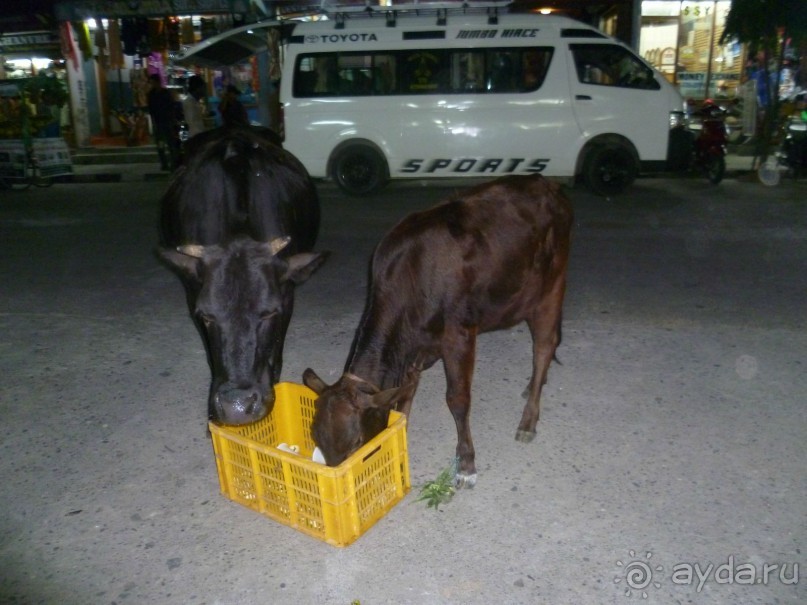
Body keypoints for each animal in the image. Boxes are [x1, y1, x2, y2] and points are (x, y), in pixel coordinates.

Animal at [304, 173, 576, 486]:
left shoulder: (459, 334)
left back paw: (528, 421)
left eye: (356, 442)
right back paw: (533, 385)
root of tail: (544, 181)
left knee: (543, 347)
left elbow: (457, 399)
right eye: (317, 439)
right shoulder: (414, 347)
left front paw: (466, 464)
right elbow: (404, 395)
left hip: (551, 288)